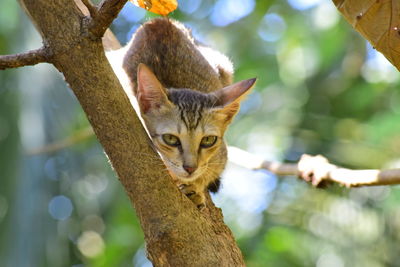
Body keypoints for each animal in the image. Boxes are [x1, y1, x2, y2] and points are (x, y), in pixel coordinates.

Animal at [120, 18, 256, 209]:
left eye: (208, 140)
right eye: (170, 139)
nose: (190, 168)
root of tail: (157, 21)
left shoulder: (221, 154)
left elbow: (209, 170)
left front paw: (195, 188)